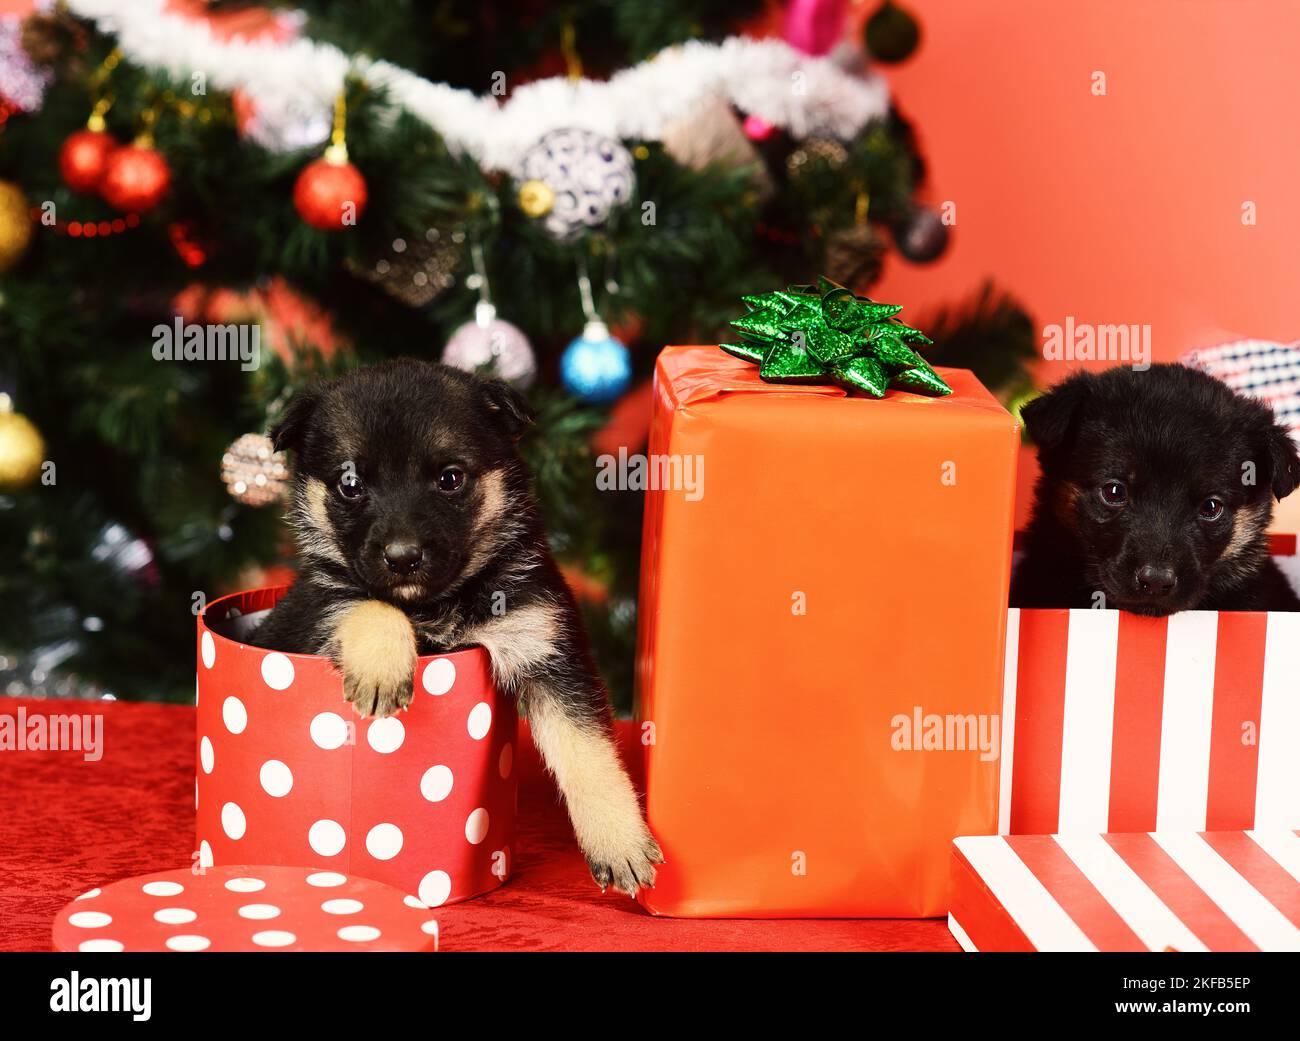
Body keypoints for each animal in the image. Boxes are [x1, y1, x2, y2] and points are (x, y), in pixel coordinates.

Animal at [249, 358, 665, 894]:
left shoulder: (546, 646)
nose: (403, 557)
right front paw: (383, 669)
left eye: (450, 479)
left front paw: (620, 842)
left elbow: (588, 753)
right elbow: (371, 604)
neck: (440, 603)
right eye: (350, 485)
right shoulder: (321, 604)